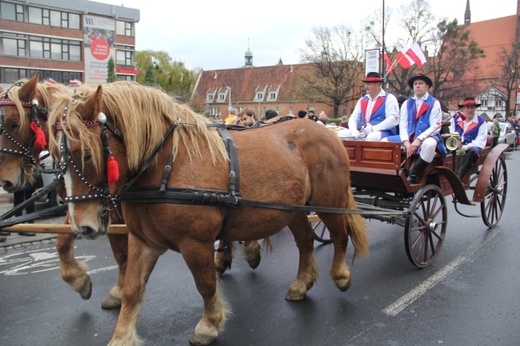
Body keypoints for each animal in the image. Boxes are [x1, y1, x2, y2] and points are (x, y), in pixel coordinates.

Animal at [0, 75, 126, 308]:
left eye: (13, 124)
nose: (5, 180)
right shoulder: (82, 203)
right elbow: (63, 240)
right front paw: (79, 280)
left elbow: (123, 250)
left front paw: (119, 290)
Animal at [46, 82, 368, 346]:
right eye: (56, 155)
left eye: (87, 154)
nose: (83, 226)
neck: (165, 164)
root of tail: (325, 131)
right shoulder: (142, 241)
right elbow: (132, 289)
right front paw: (122, 336)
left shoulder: (195, 242)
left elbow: (205, 283)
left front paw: (209, 325)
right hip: (293, 211)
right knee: (305, 242)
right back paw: (301, 284)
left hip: (329, 203)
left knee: (340, 235)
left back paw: (341, 275)